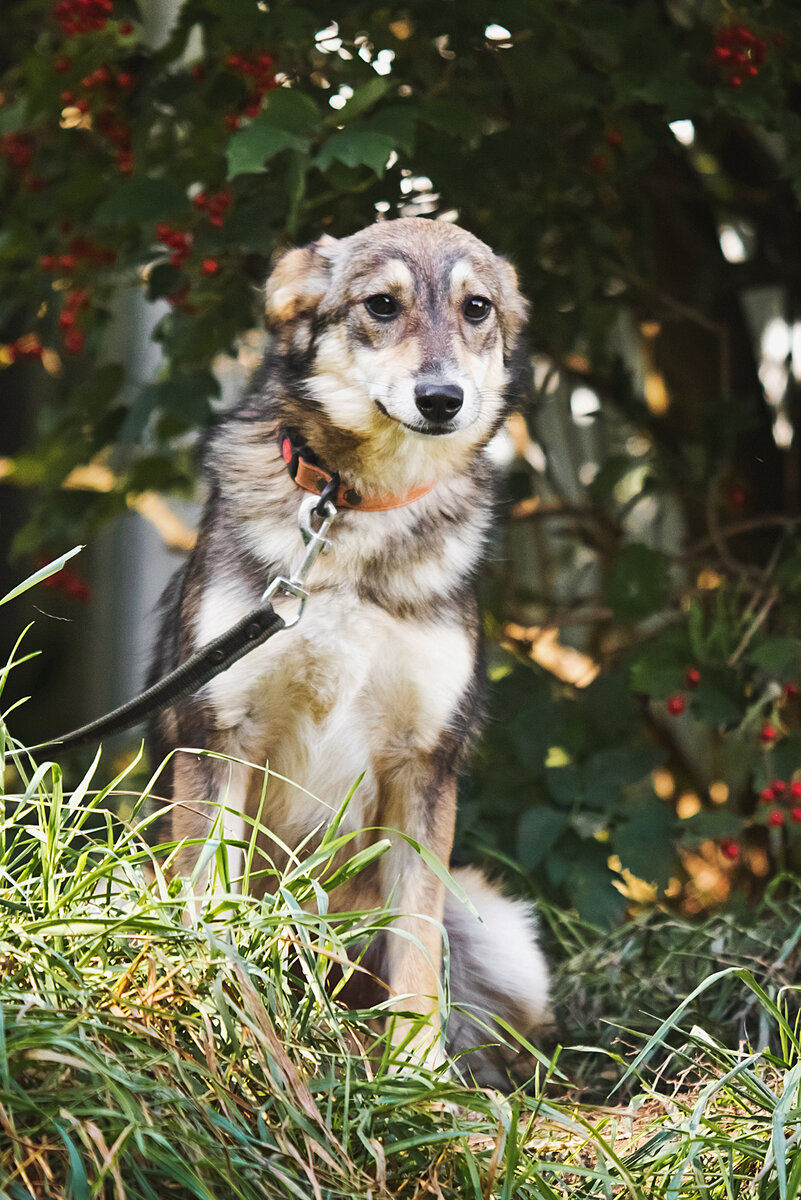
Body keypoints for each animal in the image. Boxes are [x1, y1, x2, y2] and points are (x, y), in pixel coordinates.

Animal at [148, 218, 551, 1089]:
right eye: (380, 305)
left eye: (476, 307)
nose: (441, 399)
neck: (360, 511)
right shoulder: (217, 736)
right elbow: (212, 907)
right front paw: (223, 1018)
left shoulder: (422, 766)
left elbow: (415, 952)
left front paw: (417, 1078)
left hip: (506, 936)